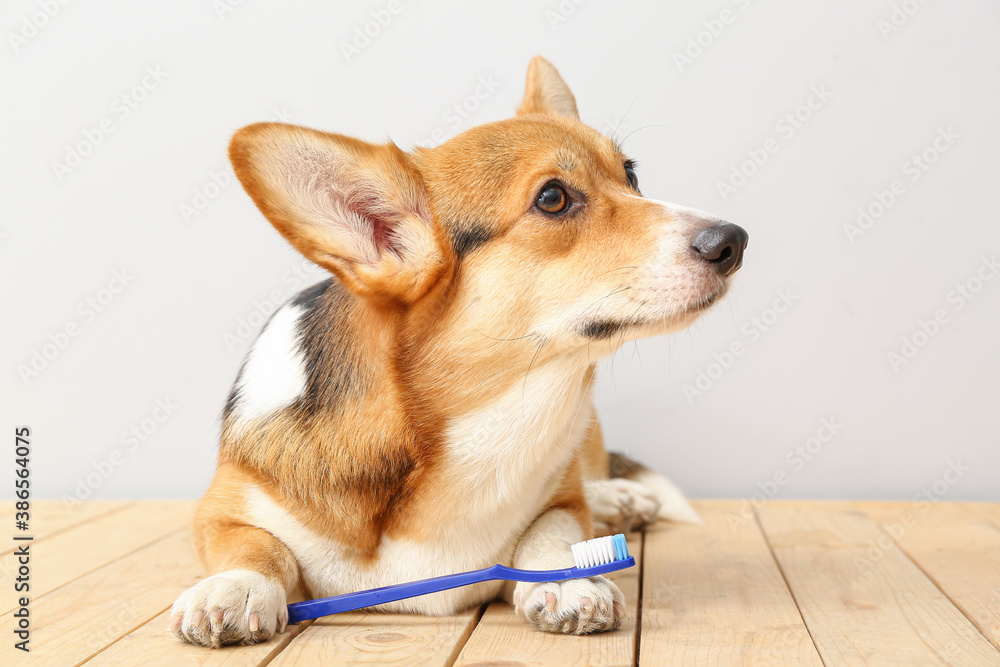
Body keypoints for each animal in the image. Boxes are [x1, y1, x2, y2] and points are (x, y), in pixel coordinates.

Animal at [170, 54, 744, 648]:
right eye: (553, 198)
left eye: (630, 175)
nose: (733, 242)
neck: (476, 425)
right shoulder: (220, 510)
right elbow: (253, 545)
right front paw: (235, 587)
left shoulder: (559, 502)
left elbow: (555, 529)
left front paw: (568, 578)